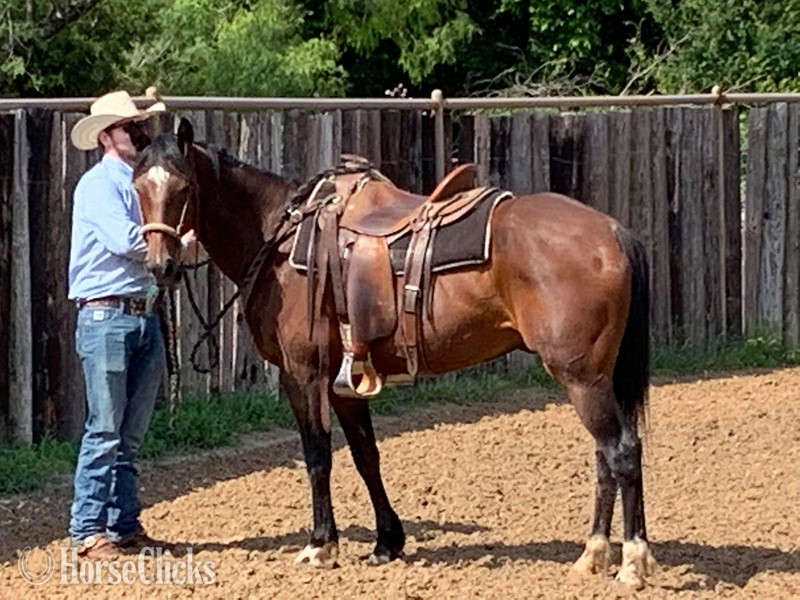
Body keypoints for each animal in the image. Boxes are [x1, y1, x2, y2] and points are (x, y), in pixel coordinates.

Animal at [132, 118, 654, 589]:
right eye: (138, 186)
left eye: (182, 187)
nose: (160, 265)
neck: (280, 242)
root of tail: (612, 231)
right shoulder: (343, 380)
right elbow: (366, 455)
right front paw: (387, 541)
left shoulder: (303, 375)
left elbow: (317, 454)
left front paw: (320, 545)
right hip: (595, 379)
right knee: (606, 457)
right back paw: (593, 555)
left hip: (582, 377)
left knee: (622, 451)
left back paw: (631, 562)